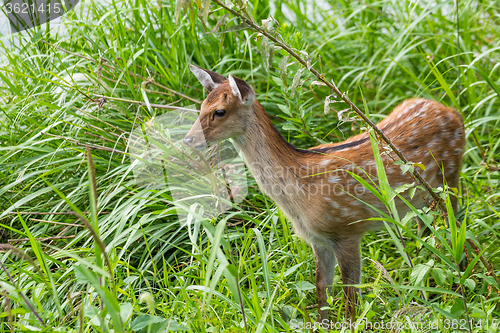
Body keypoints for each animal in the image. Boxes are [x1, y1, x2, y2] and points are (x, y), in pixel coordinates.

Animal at [183, 64, 464, 322]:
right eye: (201, 107)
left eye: (219, 111)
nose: (188, 140)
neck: (300, 192)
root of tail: (453, 112)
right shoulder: (317, 240)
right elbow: (322, 291)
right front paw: (323, 323)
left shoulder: (347, 229)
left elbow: (351, 297)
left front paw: (351, 323)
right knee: (425, 230)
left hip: (449, 180)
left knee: (455, 225)